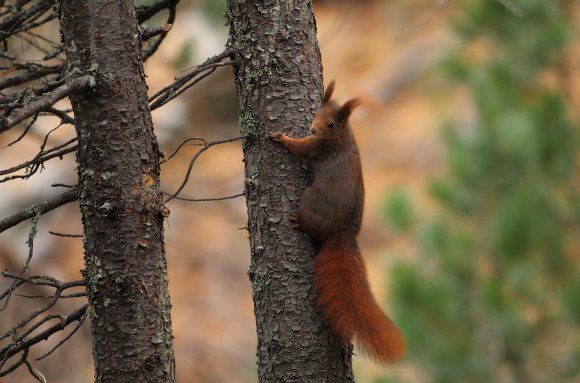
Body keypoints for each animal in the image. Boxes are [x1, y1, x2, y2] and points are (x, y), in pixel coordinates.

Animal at [270, 82, 406, 366]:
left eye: (331, 123)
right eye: (316, 114)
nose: (312, 129)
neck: (343, 136)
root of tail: (342, 230)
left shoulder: (317, 149)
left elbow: (300, 149)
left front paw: (282, 138)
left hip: (311, 198)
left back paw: (299, 221)